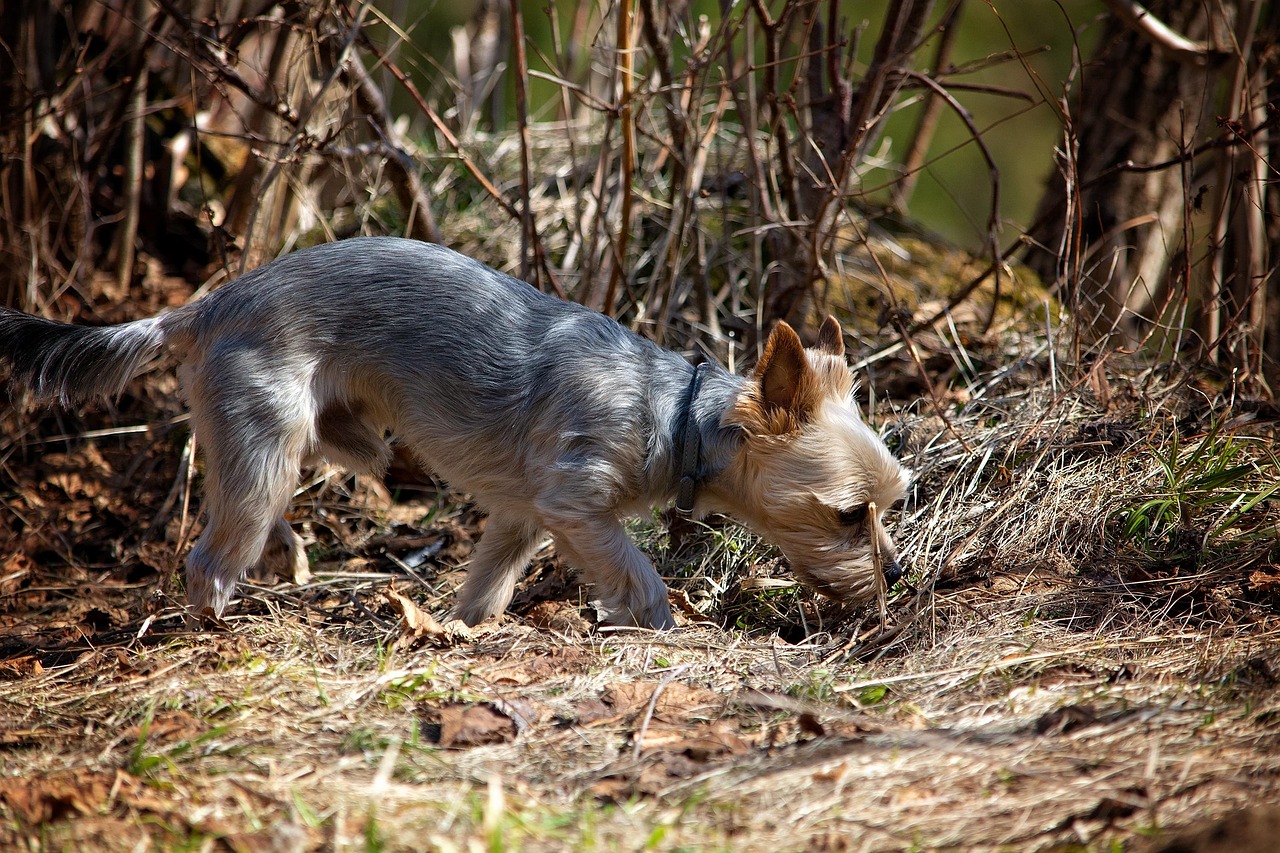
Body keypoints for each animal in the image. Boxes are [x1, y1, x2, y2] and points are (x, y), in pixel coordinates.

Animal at [0, 235, 911, 627]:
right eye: (848, 514)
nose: (897, 575)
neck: (677, 414)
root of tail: (206, 304)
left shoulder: (520, 516)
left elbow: (489, 583)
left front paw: (464, 630)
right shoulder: (576, 504)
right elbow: (640, 575)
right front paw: (659, 628)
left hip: (307, 436)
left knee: (279, 483)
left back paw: (301, 539)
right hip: (266, 440)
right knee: (211, 556)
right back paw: (215, 626)